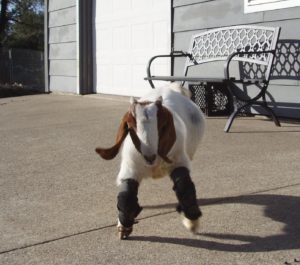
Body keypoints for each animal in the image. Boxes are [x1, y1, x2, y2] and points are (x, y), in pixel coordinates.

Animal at [96, 83, 206, 239]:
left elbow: (184, 186)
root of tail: (173, 87)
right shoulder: (131, 167)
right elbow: (127, 194)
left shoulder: (178, 160)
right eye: (130, 126)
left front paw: (192, 223)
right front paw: (124, 226)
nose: (149, 156)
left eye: (162, 125)